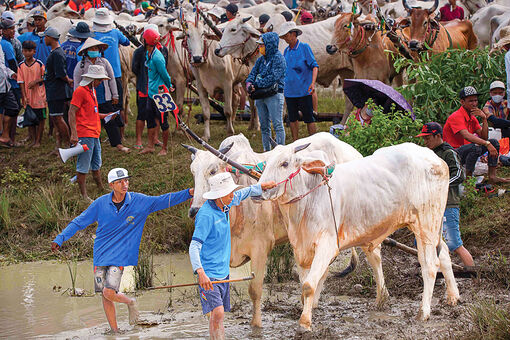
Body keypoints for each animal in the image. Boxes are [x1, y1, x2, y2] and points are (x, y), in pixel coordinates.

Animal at [187, 132, 362, 326]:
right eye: (193, 171)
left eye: (212, 170)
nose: (195, 211)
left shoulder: (260, 249)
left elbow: (255, 291)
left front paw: (256, 326)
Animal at [256, 142, 460, 330]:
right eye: (265, 164)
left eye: (284, 163)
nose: (261, 190)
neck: (308, 199)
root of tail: (435, 158)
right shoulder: (300, 248)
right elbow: (306, 284)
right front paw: (309, 309)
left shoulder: (327, 245)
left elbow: (308, 286)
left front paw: (304, 322)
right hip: (432, 226)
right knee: (443, 253)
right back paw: (452, 296)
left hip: (425, 223)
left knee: (430, 265)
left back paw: (424, 312)